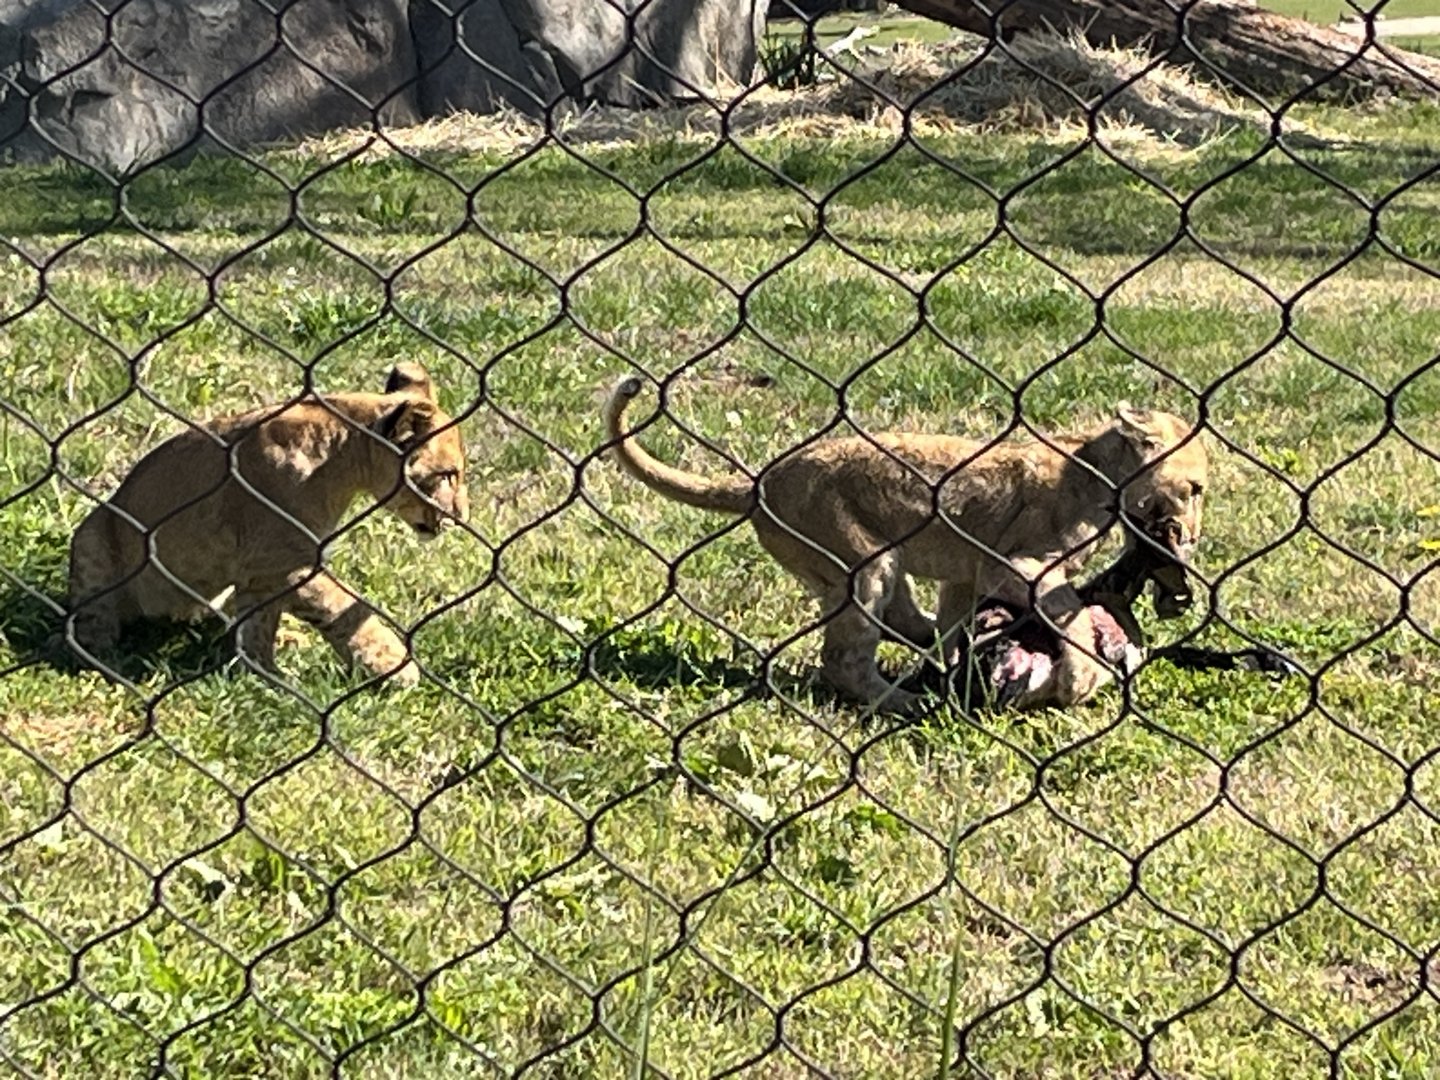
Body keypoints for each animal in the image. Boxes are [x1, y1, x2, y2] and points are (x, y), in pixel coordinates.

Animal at [66, 362, 469, 686]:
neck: (344, 453)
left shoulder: (262, 572)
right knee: (92, 615)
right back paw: (102, 654)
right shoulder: (284, 560)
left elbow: (259, 622)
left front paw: (262, 674)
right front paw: (394, 664)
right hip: (93, 536)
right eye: (448, 474)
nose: (462, 516)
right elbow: (342, 604)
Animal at [602, 376, 1207, 711]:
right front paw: (1078, 677)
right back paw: (906, 703)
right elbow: (1073, 616)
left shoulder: (969, 572)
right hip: (865, 561)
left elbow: (962, 610)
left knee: (903, 626)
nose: (1196, 536)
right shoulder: (1018, 562)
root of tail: (760, 482)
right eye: (1196, 488)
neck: (1095, 466)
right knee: (843, 661)